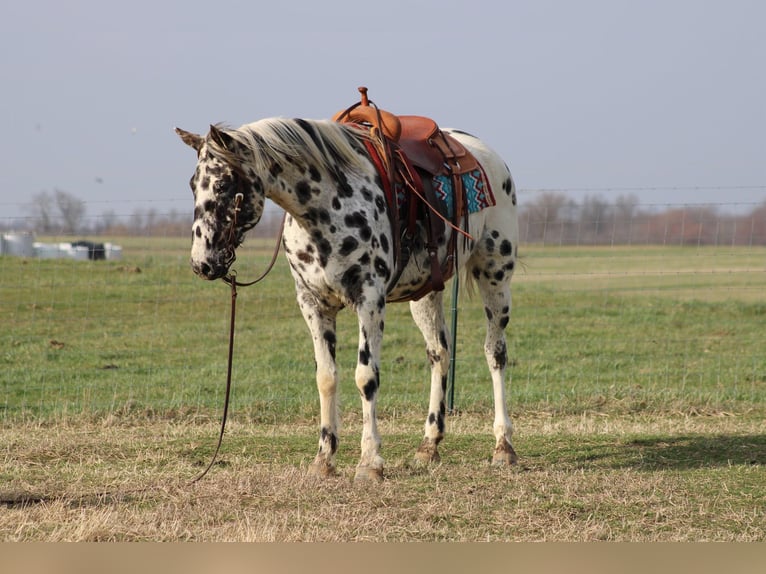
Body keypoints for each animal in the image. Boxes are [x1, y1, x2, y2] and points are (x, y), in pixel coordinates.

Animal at [177, 92, 520, 484]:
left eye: (222, 185)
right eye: (193, 185)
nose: (202, 263)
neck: (326, 204)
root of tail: (487, 155)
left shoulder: (369, 299)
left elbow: (365, 377)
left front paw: (369, 462)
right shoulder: (313, 304)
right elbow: (326, 377)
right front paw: (324, 459)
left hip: (495, 274)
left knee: (495, 353)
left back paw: (503, 446)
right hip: (426, 292)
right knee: (439, 353)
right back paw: (429, 444)